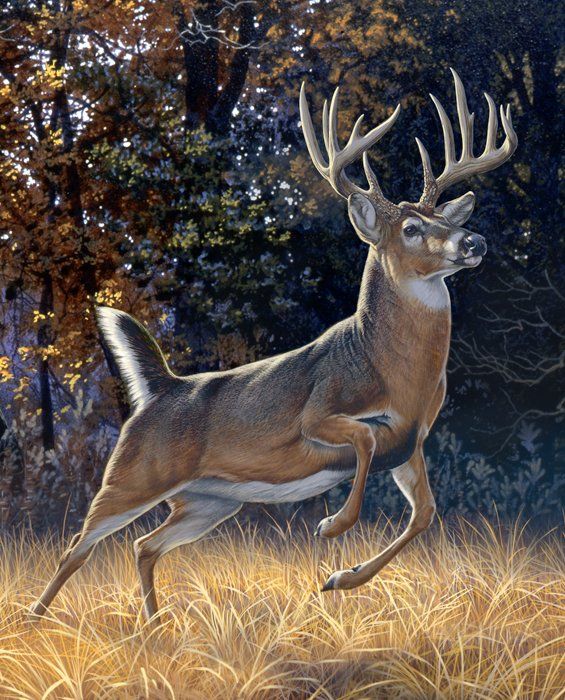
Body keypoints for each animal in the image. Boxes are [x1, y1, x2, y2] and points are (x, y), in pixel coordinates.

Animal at [30, 69, 517, 623]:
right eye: (412, 228)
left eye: (449, 221)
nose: (473, 241)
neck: (391, 371)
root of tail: (161, 389)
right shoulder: (319, 414)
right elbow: (364, 438)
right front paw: (332, 527)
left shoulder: (410, 443)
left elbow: (425, 515)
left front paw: (340, 578)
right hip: (133, 475)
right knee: (78, 547)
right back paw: (35, 620)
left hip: (211, 502)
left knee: (143, 545)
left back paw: (154, 626)